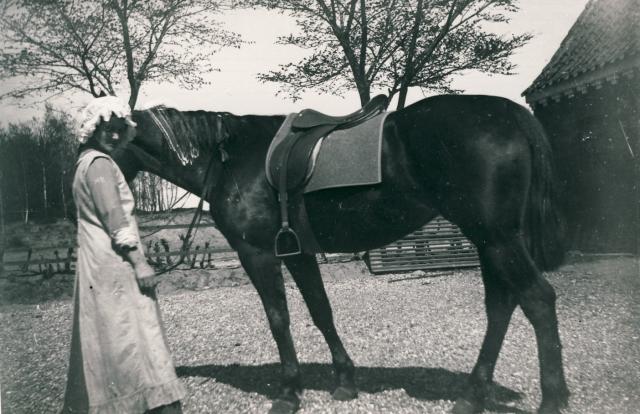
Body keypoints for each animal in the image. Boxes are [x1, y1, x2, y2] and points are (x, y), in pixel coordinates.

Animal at [116, 95, 568, 414]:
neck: (228, 158)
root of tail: (508, 112)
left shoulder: (257, 254)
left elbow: (279, 320)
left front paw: (289, 391)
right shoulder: (297, 252)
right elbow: (321, 312)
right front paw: (345, 381)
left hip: (496, 238)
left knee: (538, 300)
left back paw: (552, 398)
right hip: (492, 239)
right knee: (502, 306)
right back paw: (473, 395)